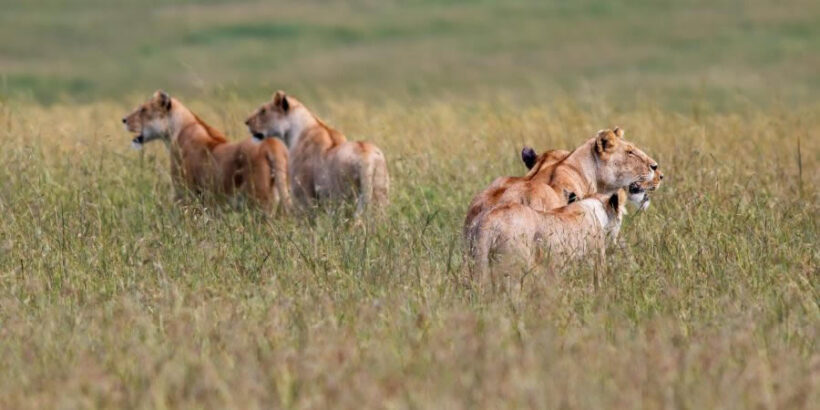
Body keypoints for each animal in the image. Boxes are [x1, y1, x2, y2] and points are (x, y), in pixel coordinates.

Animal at [123, 90, 291, 214]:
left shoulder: (184, 193)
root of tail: (272, 145)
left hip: (259, 202)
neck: (177, 131)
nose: (123, 120)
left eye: (143, 110)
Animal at [245, 90, 389, 218]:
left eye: (263, 111)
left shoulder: (303, 195)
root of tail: (367, 158)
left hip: (344, 198)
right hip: (379, 196)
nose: (246, 122)